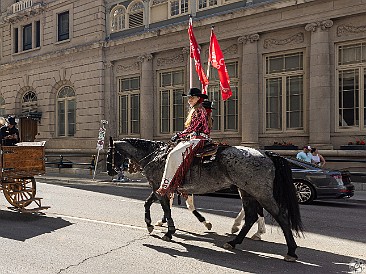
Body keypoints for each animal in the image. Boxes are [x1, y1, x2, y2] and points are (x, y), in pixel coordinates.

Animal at [106, 137, 304, 262]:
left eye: (110, 153)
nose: (109, 171)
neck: (155, 155)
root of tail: (266, 154)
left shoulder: (161, 186)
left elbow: (166, 209)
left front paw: (168, 231)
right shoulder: (161, 187)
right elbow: (148, 203)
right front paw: (150, 224)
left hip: (260, 192)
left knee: (280, 217)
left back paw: (291, 251)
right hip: (246, 191)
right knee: (251, 216)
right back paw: (234, 241)